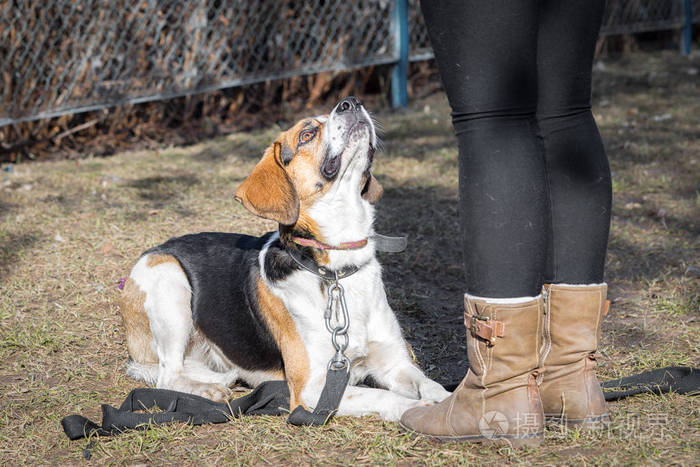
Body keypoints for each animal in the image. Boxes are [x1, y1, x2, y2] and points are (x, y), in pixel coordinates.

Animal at [119, 97, 448, 422]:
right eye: (307, 134)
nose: (351, 102)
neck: (336, 268)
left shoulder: (396, 364)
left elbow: (431, 385)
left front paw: (449, 404)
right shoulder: (312, 390)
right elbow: (384, 395)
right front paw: (418, 409)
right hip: (168, 280)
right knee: (168, 375)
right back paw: (206, 391)